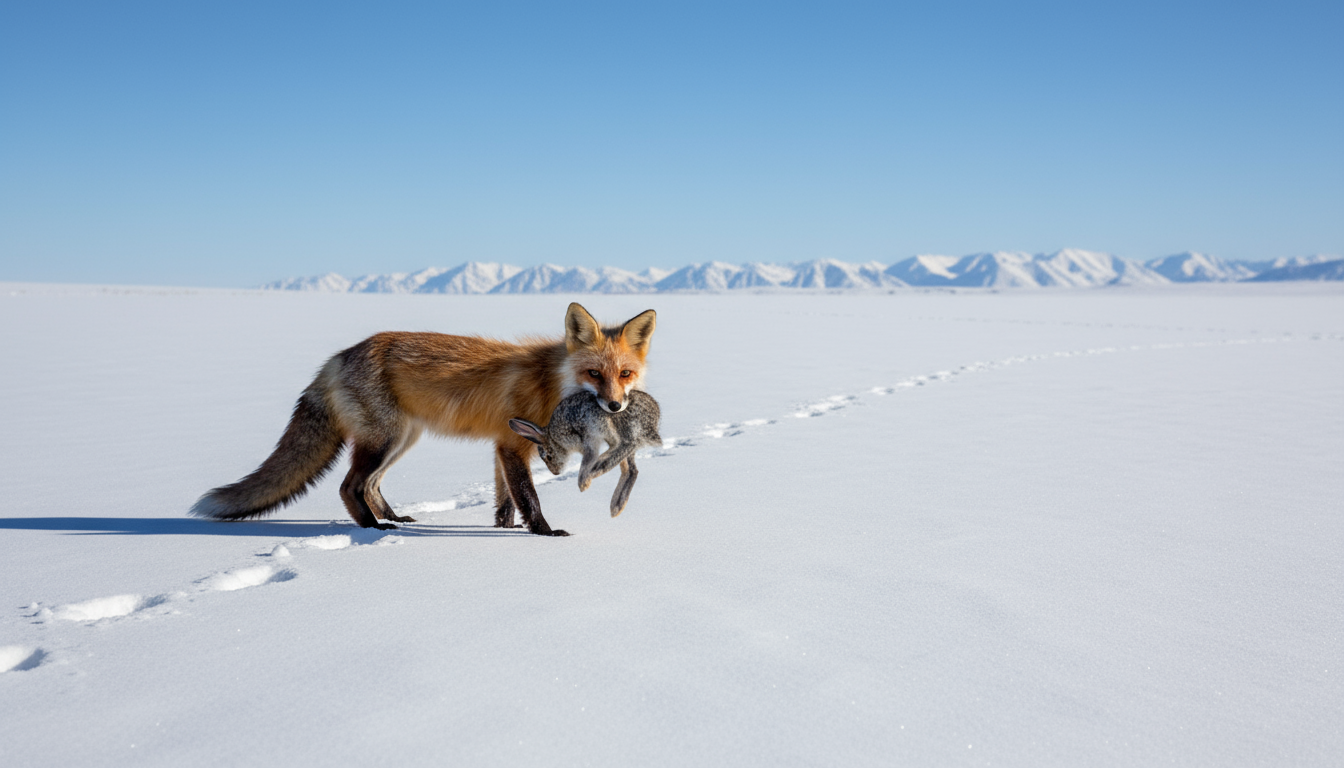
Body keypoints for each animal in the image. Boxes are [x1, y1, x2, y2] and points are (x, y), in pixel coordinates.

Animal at [508, 389, 662, 518]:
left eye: (548, 456)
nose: (555, 472)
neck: (553, 436)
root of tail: (654, 418)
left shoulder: (588, 442)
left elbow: (586, 464)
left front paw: (584, 485)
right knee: (631, 469)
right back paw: (616, 506)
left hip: (620, 425)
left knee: (628, 445)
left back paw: (598, 470)